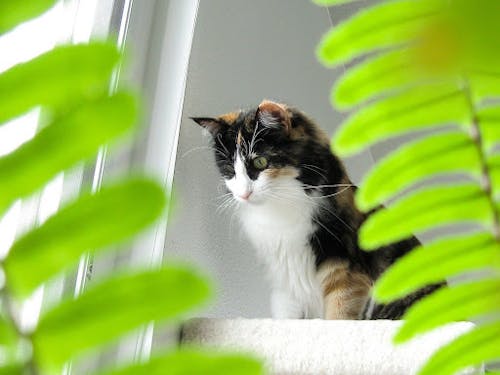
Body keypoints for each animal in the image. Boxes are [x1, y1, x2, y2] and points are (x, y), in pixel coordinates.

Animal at [190, 99, 442, 320]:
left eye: (260, 162)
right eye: (229, 170)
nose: (243, 194)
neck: (280, 212)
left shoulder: (345, 270)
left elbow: (338, 316)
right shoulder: (285, 285)